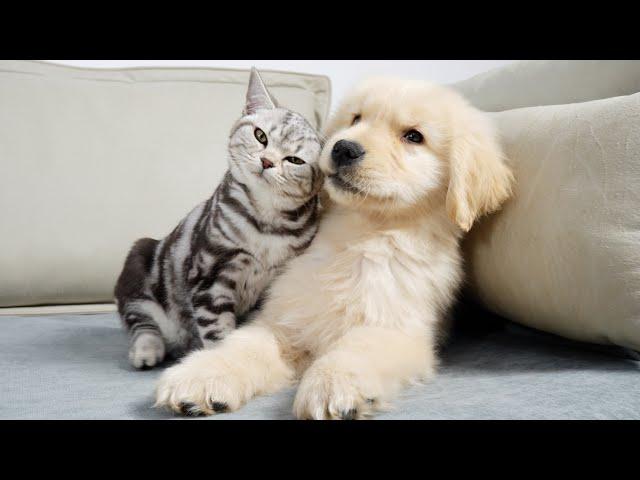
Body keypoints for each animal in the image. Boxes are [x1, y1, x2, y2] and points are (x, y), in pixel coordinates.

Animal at [114, 67, 324, 370]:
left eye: (295, 160)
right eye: (260, 136)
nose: (267, 161)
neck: (266, 225)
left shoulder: (274, 285)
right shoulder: (211, 276)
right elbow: (217, 331)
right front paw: (217, 364)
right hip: (138, 265)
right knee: (141, 321)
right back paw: (147, 350)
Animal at [155, 77, 516, 418]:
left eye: (414, 136)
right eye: (355, 118)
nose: (343, 148)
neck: (359, 234)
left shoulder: (397, 327)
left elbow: (358, 346)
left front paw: (332, 386)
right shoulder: (285, 319)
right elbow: (244, 345)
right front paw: (199, 376)